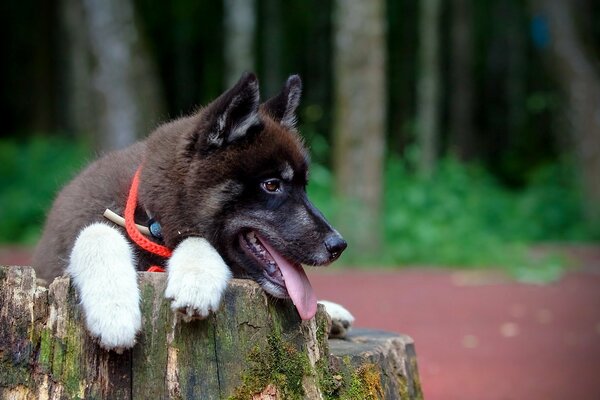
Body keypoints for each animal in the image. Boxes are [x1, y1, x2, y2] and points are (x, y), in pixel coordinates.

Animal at [31, 72, 352, 350]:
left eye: (303, 186)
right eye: (271, 185)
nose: (338, 245)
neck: (150, 219)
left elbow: (194, 238)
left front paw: (195, 278)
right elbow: (97, 232)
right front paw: (114, 311)